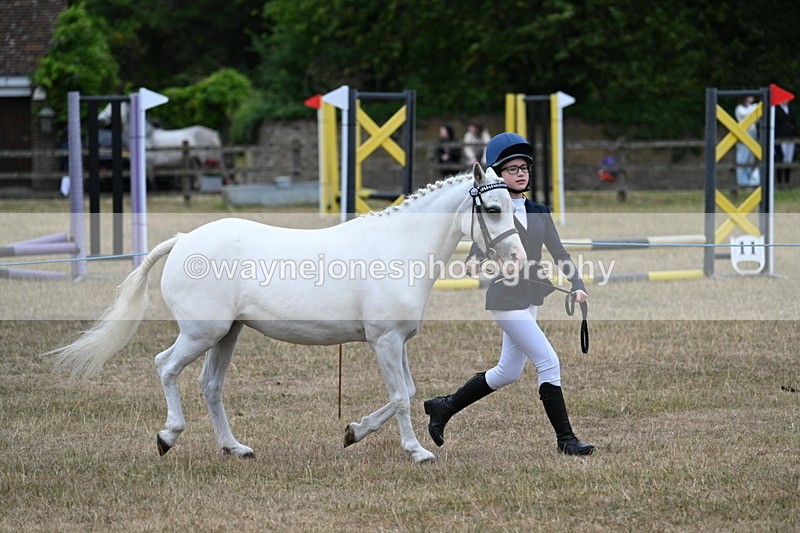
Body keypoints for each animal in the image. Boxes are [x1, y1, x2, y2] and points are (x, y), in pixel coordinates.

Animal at [44, 164, 527, 463]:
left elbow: (404, 391)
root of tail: (183, 240)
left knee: (210, 386)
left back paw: (235, 449)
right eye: (493, 208)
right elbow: (400, 397)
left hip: (227, 335)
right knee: (165, 367)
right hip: (203, 332)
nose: (518, 260)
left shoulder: (397, 342)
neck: (398, 248)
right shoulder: (385, 341)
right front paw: (418, 452)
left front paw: (353, 431)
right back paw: (168, 436)